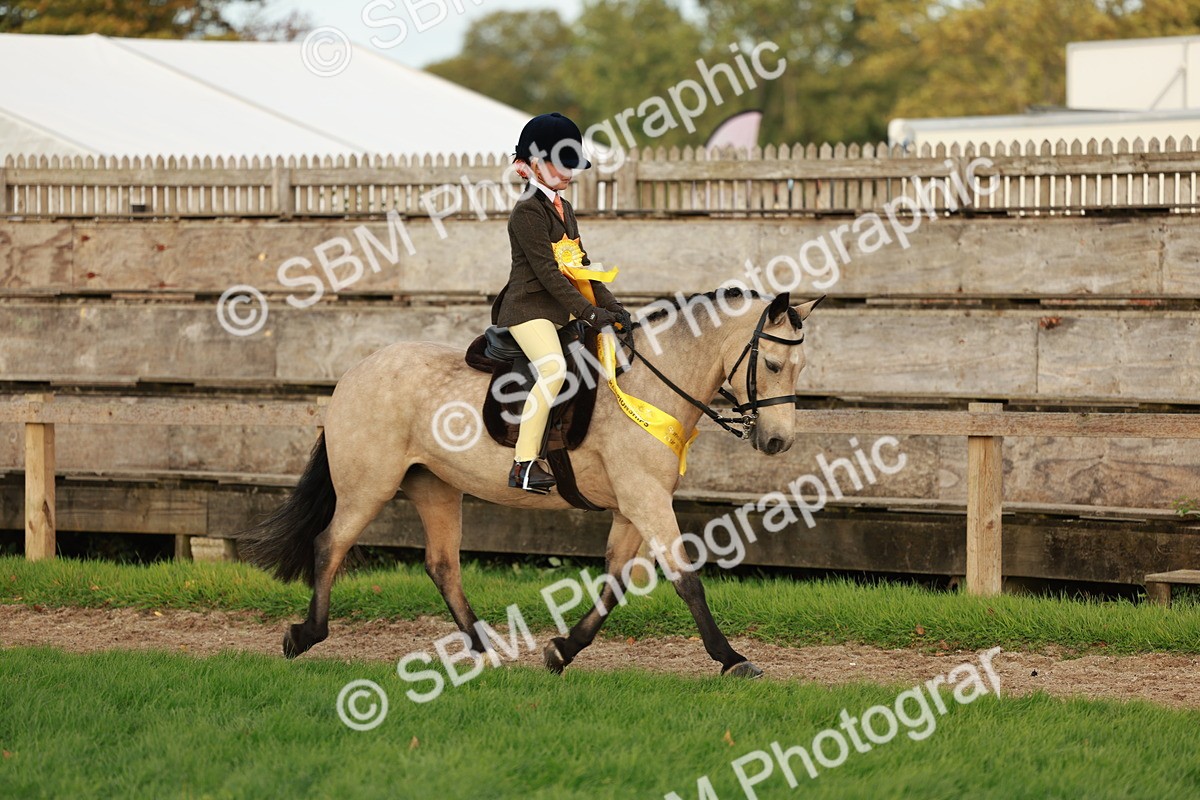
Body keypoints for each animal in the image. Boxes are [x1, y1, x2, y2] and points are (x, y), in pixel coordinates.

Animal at [239, 287, 823, 677]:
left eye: (800, 366)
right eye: (773, 364)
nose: (777, 441)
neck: (647, 383)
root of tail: (354, 374)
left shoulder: (633, 505)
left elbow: (615, 582)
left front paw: (561, 651)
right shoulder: (645, 498)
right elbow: (687, 580)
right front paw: (732, 659)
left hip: (435, 487)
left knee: (442, 565)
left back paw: (484, 650)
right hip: (368, 488)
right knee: (329, 545)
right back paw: (304, 636)